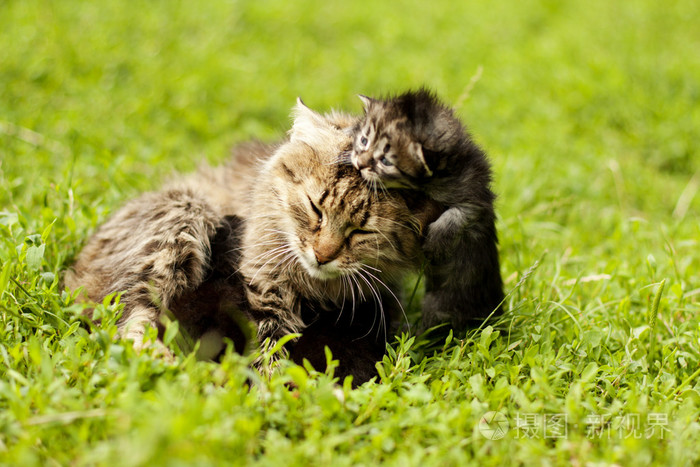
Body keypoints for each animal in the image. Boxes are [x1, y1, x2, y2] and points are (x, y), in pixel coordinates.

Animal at [65, 100, 438, 382]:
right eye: (315, 209)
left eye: (362, 231)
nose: (322, 255)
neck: (317, 288)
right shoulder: (263, 284)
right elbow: (269, 345)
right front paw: (269, 392)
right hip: (181, 217)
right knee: (129, 318)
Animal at [348, 89, 504, 330]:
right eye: (364, 140)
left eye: (385, 161)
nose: (359, 163)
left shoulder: (476, 197)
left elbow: (457, 215)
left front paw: (435, 243)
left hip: (441, 304)